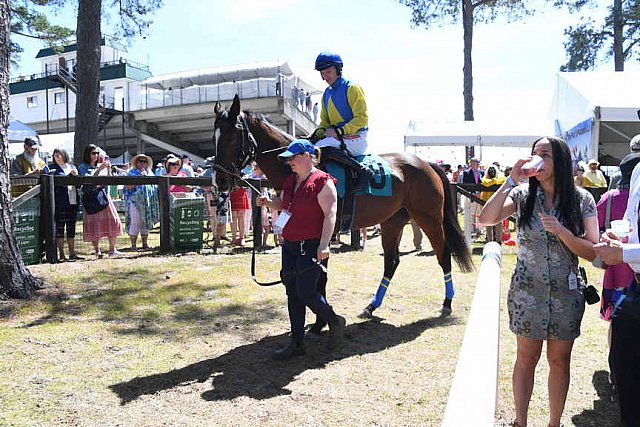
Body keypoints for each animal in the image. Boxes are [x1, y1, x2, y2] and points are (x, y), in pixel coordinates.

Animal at [212, 95, 472, 320]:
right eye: (214, 138)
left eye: (230, 137)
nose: (220, 181)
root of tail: (425, 164)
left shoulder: (321, 236)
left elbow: (319, 279)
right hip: (393, 221)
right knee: (391, 262)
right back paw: (371, 306)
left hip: (429, 218)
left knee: (443, 255)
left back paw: (447, 303)